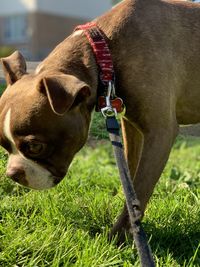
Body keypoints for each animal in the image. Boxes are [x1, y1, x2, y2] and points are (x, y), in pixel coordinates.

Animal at [0, 1, 200, 238]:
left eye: (35, 146)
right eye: (4, 146)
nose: (12, 174)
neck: (104, 50)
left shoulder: (159, 133)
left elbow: (140, 188)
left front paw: (119, 236)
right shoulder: (131, 127)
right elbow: (130, 174)